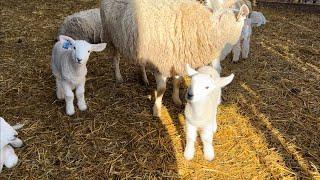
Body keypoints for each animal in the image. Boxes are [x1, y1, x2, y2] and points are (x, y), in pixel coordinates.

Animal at [101, 0, 249, 116]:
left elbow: (177, 82)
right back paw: (118, 77)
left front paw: (176, 99)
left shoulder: (178, 61)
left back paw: (144, 79)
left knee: (141, 63)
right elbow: (161, 89)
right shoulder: (160, 64)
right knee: (116, 59)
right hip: (112, 38)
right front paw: (157, 110)